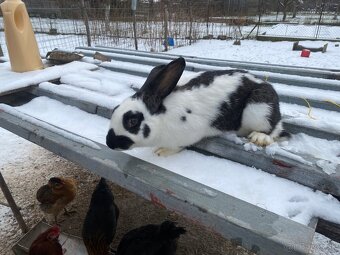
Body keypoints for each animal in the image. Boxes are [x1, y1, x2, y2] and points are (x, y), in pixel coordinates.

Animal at [106, 57, 284, 156]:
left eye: (132, 121)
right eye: (114, 110)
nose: (109, 143)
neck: (162, 117)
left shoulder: (190, 133)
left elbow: (178, 146)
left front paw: (161, 151)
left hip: (259, 110)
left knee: (273, 129)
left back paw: (259, 138)